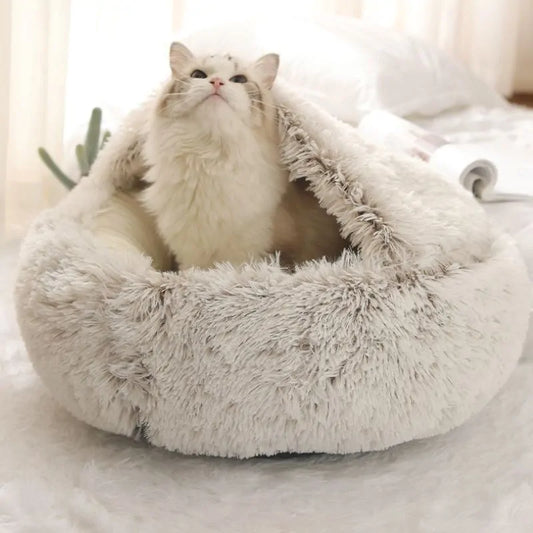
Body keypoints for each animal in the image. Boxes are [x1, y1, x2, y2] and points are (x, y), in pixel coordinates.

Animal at [139, 41, 284, 270]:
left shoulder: (249, 250)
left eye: (239, 80)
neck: (209, 158)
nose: (216, 82)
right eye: (198, 75)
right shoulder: (190, 254)